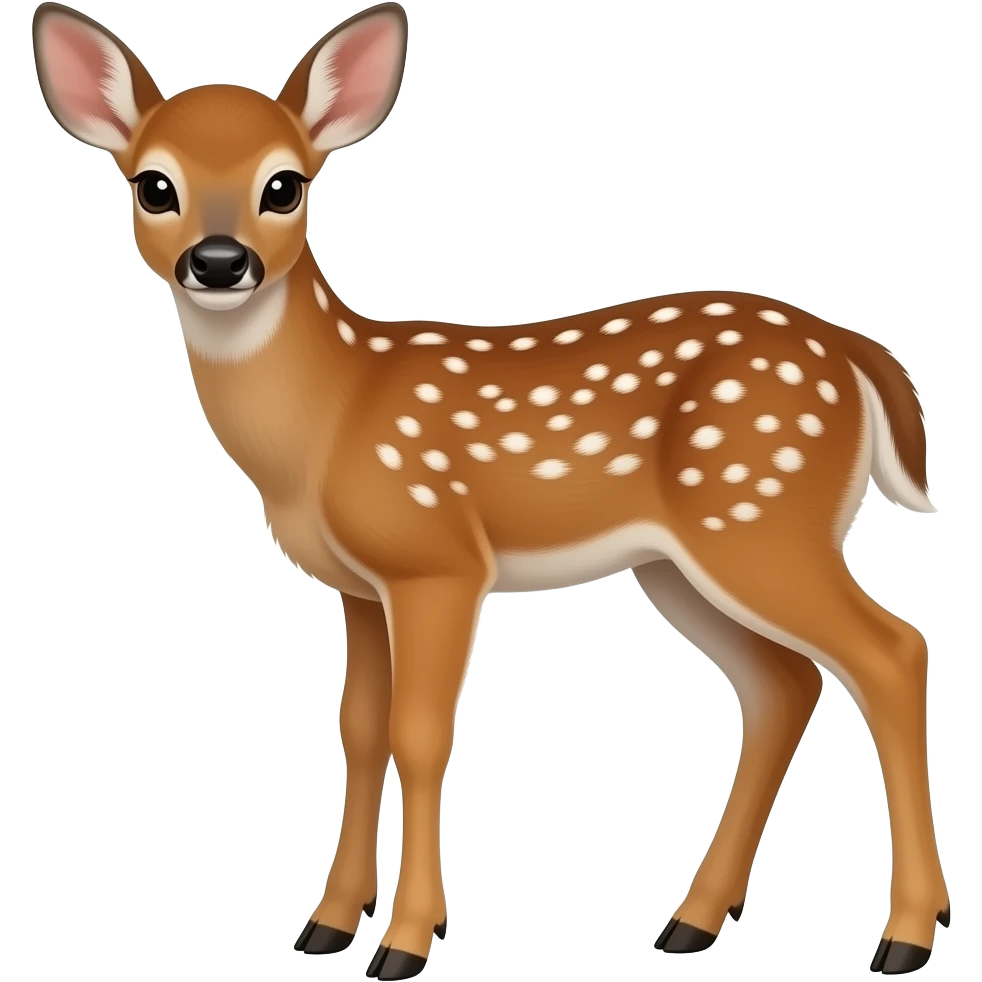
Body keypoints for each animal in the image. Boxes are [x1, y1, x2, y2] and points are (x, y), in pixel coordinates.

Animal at [31, 2, 947, 976]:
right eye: (152, 185)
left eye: (285, 185)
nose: (217, 260)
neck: (329, 419)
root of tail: (854, 353)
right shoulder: (362, 586)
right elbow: (359, 729)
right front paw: (328, 925)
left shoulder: (437, 558)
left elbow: (421, 733)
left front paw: (405, 942)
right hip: (682, 562)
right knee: (783, 685)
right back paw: (691, 922)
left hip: (761, 514)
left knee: (891, 653)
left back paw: (904, 935)